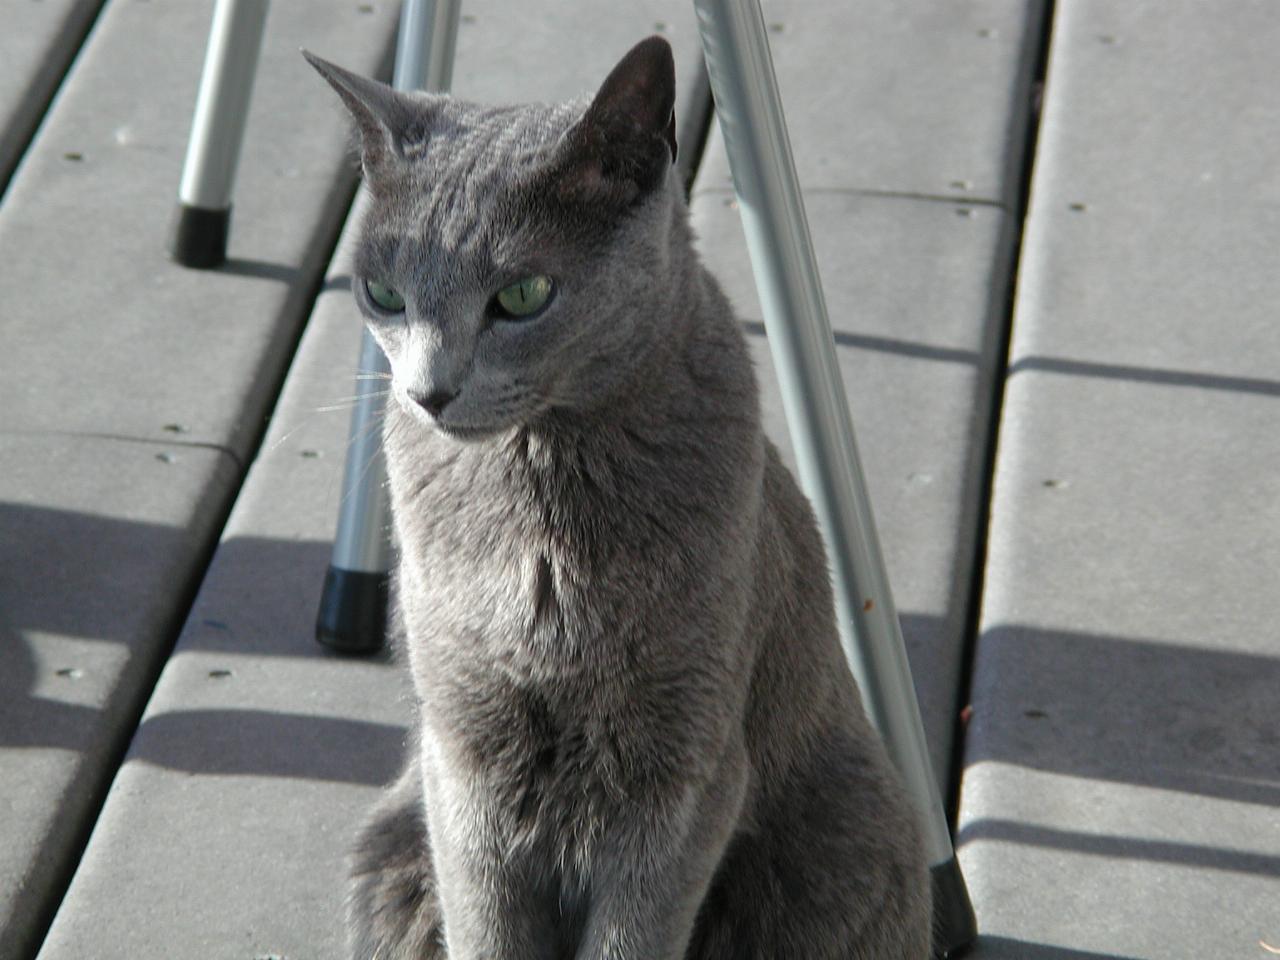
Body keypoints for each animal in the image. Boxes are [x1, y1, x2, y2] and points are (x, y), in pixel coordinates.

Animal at [309, 35, 931, 960]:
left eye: (522, 296)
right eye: (384, 295)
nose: (427, 393)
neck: (539, 499)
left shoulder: (685, 771)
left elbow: (632, 935)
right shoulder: (463, 763)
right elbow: (487, 925)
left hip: (844, 841)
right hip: (391, 850)